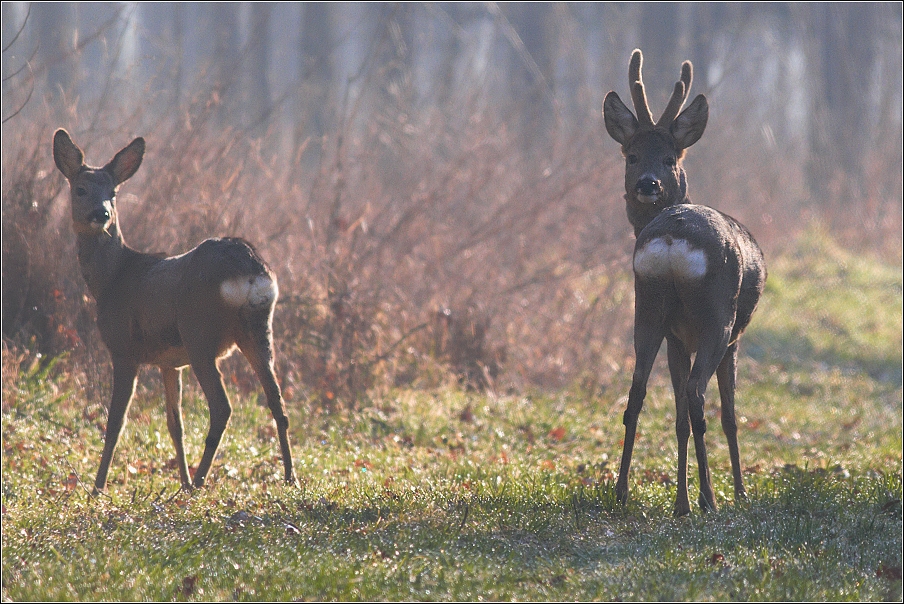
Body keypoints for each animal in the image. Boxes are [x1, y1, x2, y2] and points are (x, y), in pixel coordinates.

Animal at [53, 130, 296, 494]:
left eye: (113, 193)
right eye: (81, 189)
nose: (101, 213)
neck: (111, 279)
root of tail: (251, 270)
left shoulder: (124, 349)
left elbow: (116, 422)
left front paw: (98, 487)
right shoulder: (170, 363)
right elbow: (174, 425)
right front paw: (179, 479)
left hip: (199, 333)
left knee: (222, 407)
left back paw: (200, 483)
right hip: (258, 329)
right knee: (277, 401)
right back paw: (290, 478)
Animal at [604, 49, 768, 516]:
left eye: (669, 157)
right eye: (632, 156)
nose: (648, 183)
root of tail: (672, 240)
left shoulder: (677, 338)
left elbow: (675, 418)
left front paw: (682, 497)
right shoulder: (734, 340)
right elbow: (730, 416)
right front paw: (740, 491)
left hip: (648, 308)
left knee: (637, 391)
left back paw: (624, 491)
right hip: (718, 318)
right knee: (698, 397)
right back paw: (709, 499)